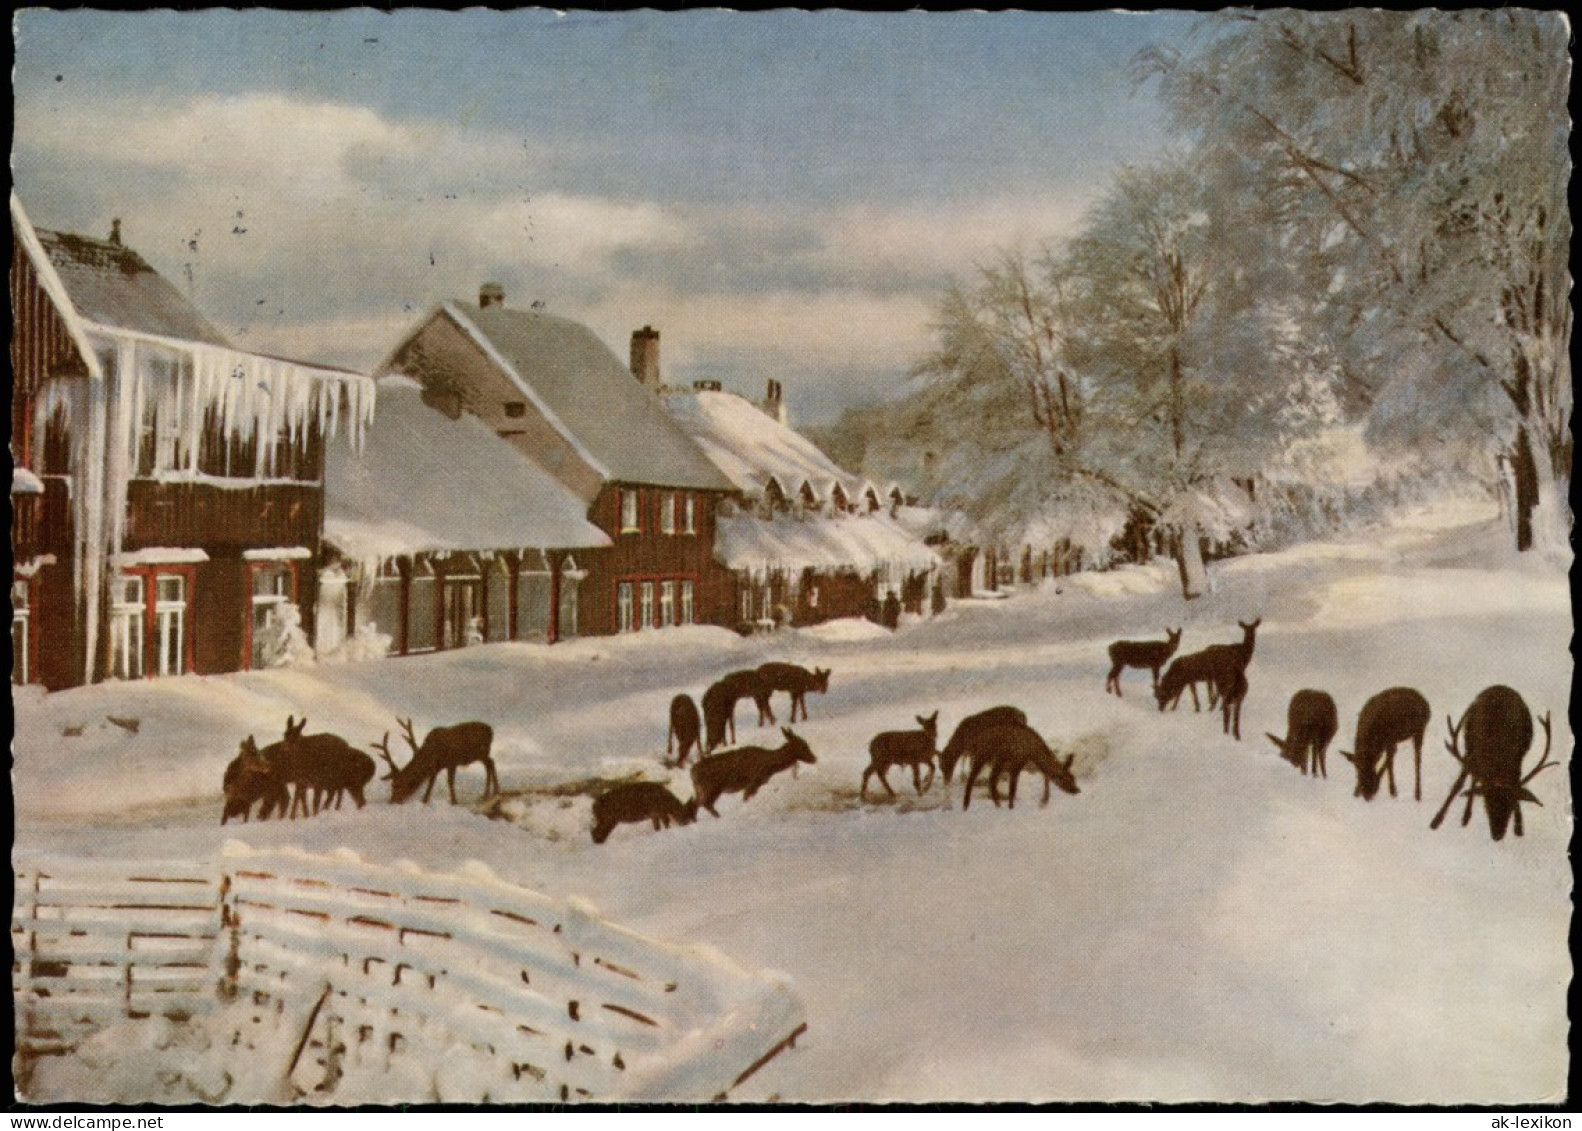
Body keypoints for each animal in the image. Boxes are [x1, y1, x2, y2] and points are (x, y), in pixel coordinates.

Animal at [1436, 686, 1556, 847]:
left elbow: (1517, 787)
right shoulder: (1475, 754)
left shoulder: (1517, 763)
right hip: (1469, 739)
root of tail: (1500, 686)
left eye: (1510, 806)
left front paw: (1519, 826)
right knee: (1465, 778)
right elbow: (1463, 780)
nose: (1497, 835)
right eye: (1486, 805)